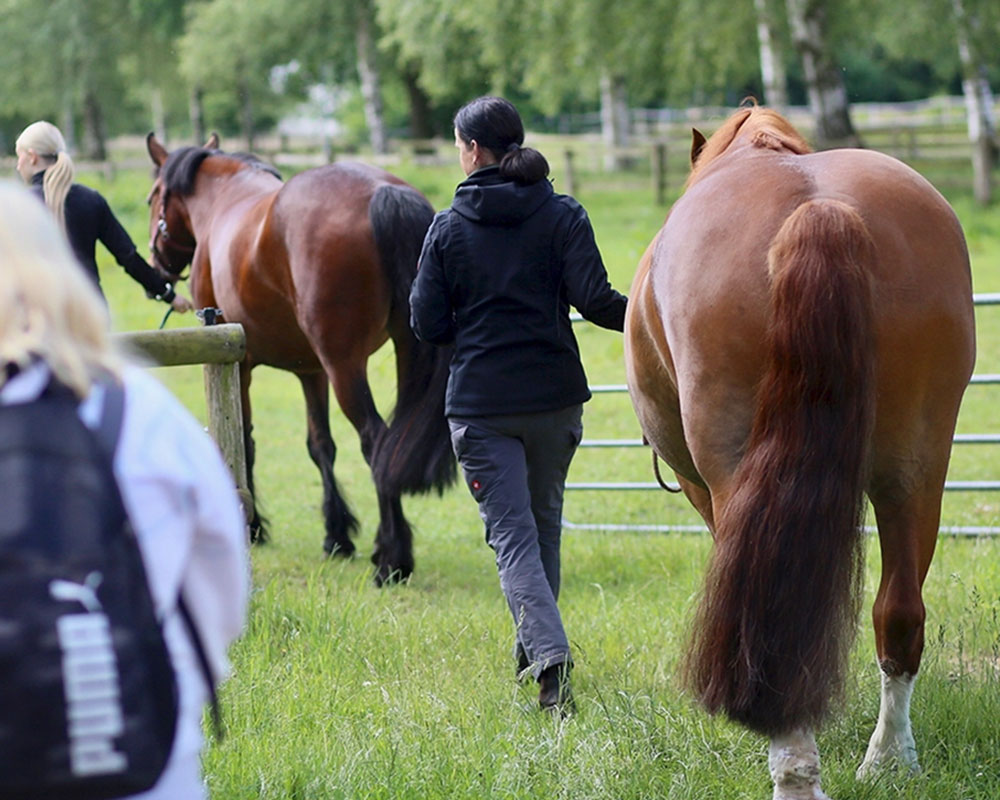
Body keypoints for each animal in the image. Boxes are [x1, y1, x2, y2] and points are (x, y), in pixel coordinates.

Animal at [145, 133, 455, 585]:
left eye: (153, 197)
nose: (157, 269)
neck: (225, 202)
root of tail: (383, 192)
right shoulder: (311, 371)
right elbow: (320, 445)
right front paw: (337, 535)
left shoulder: (238, 364)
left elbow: (245, 441)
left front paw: (253, 526)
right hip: (403, 351)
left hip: (346, 367)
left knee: (376, 441)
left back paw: (391, 558)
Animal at [624, 107, 975, 798]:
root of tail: (821, 208)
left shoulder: (708, 492)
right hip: (917, 467)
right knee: (899, 612)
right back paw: (888, 760)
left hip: (736, 465)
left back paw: (794, 769)